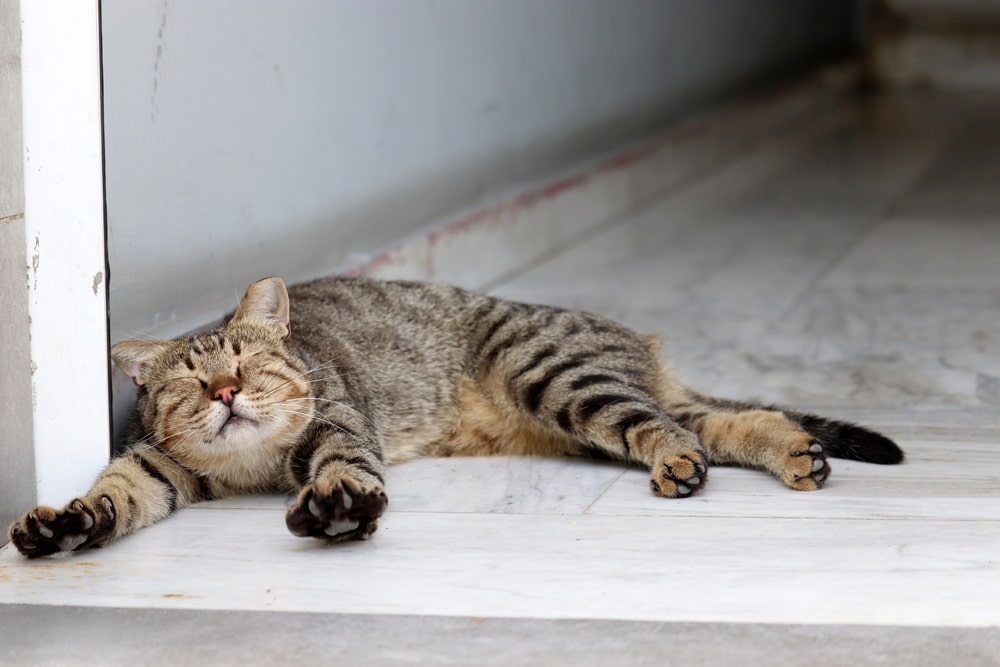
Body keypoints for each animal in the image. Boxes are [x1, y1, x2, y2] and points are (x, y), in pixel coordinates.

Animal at [7, 276, 904, 560]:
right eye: (194, 385)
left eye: (248, 366)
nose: (228, 394)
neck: (251, 465)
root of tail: (639, 343)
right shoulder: (153, 463)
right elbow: (113, 493)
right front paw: (65, 523)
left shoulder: (339, 425)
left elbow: (342, 468)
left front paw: (338, 508)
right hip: (588, 415)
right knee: (730, 420)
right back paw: (799, 454)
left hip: (562, 381)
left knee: (677, 429)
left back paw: (684, 466)